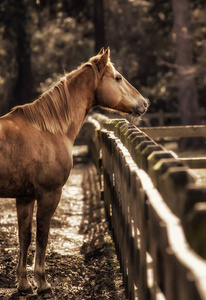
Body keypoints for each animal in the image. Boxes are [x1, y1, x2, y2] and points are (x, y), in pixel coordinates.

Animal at [0, 48, 148, 294]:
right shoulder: (49, 194)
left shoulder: (25, 197)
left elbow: (25, 237)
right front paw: (42, 283)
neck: (48, 130)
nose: (144, 103)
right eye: (118, 78)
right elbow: (42, 236)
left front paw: (24, 284)